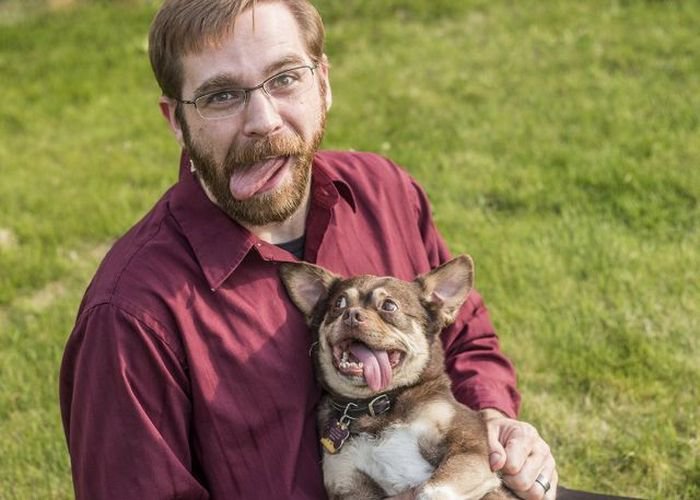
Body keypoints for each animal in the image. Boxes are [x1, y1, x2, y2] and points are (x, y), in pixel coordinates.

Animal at [280, 256, 516, 499]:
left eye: (389, 306)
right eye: (339, 304)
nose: (351, 314)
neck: (377, 406)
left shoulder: (470, 448)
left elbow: (433, 490)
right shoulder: (350, 485)